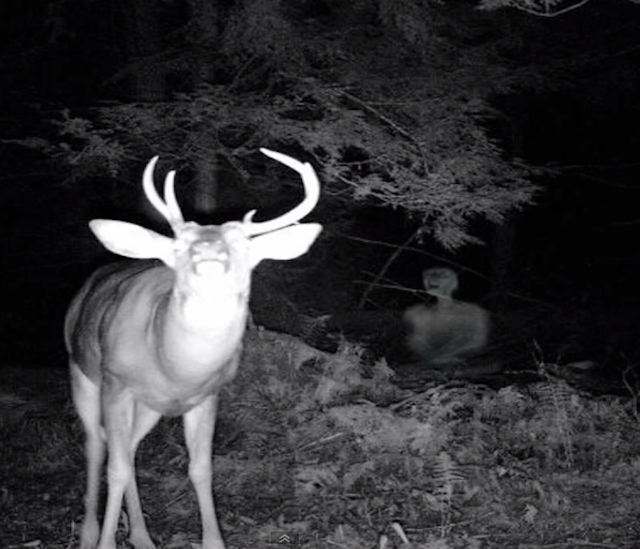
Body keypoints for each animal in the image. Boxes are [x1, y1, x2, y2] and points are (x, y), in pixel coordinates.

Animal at [66, 149, 320, 548]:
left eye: (243, 245)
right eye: (179, 245)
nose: (209, 255)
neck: (174, 369)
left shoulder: (207, 396)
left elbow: (200, 468)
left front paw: (214, 540)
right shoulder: (116, 384)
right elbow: (115, 468)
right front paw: (105, 542)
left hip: (148, 408)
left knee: (130, 449)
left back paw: (141, 535)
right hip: (82, 373)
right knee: (96, 445)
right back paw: (90, 531)